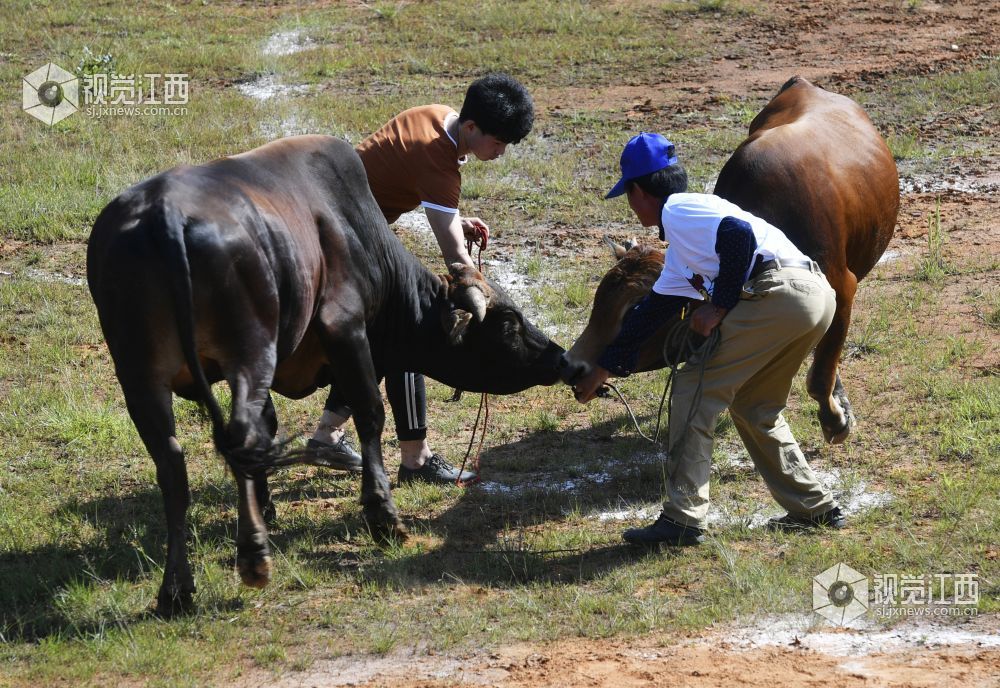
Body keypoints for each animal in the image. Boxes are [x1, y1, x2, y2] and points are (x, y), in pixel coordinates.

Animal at [88, 136, 564, 620]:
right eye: (509, 326)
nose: (561, 357)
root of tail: (163, 211)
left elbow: (273, 428)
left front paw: (266, 505)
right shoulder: (344, 327)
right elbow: (369, 412)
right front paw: (382, 517)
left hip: (140, 376)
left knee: (174, 466)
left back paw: (177, 589)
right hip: (248, 354)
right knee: (237, 438)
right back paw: (252, 557)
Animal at [564, 75, 900, 440]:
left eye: (635, 308)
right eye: (598, 300)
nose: (572, 366)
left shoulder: (842, 286)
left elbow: (821, 372)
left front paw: (835, 419)